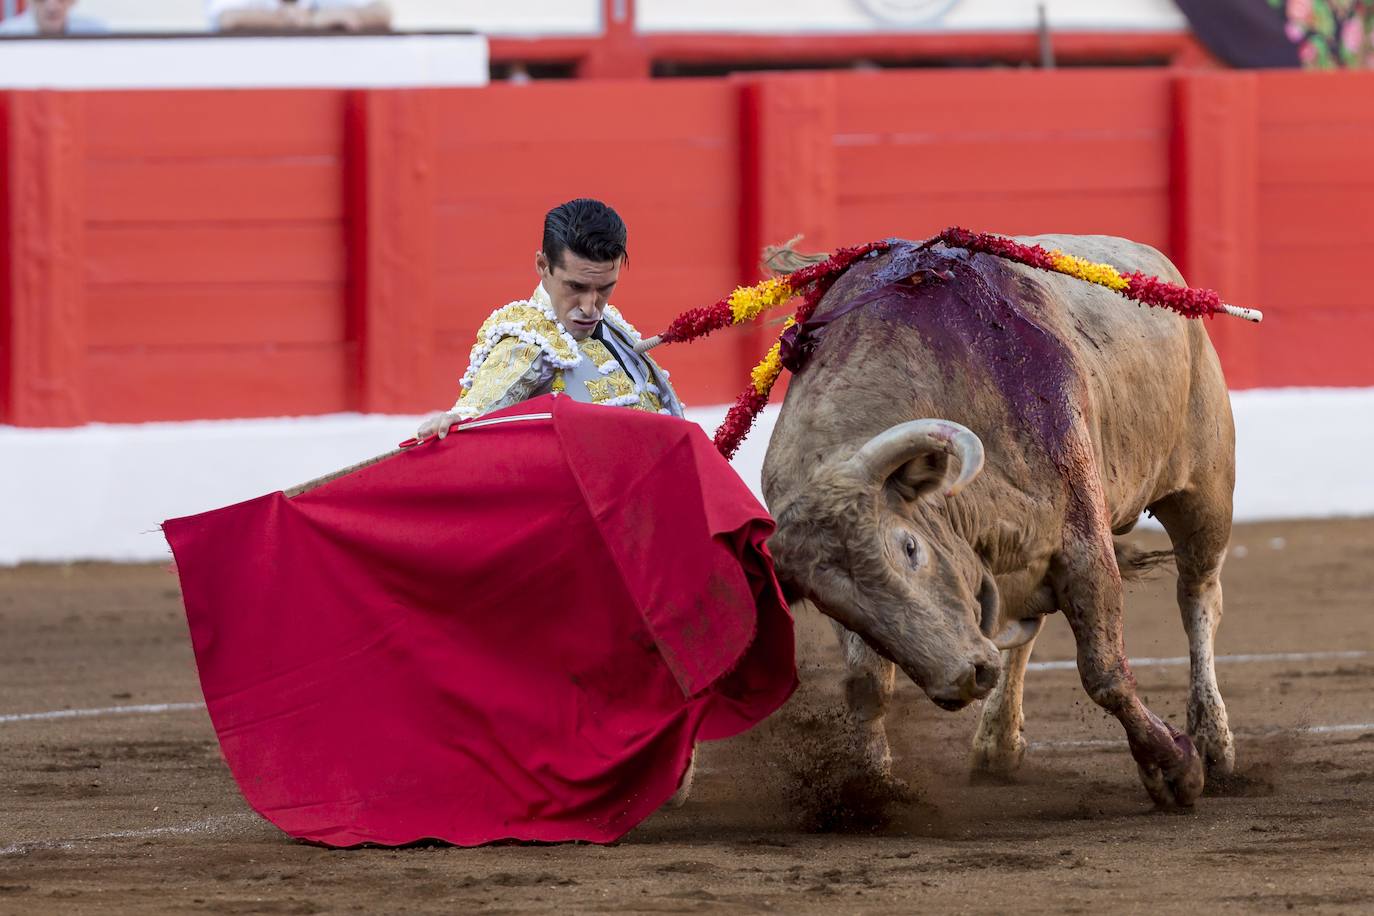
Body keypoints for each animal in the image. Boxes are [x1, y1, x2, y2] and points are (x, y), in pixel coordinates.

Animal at [769, 236, 1242, 807]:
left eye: (910, 547)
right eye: (834, 604)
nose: (965, 677)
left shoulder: (1084, 538)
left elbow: (1104, 672)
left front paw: (1175, 768)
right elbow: (867, 682)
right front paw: (871, 783)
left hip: (1205, 491)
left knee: (1199, 596)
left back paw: (1213, 743)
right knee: (1026, 629)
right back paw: (996, 745)